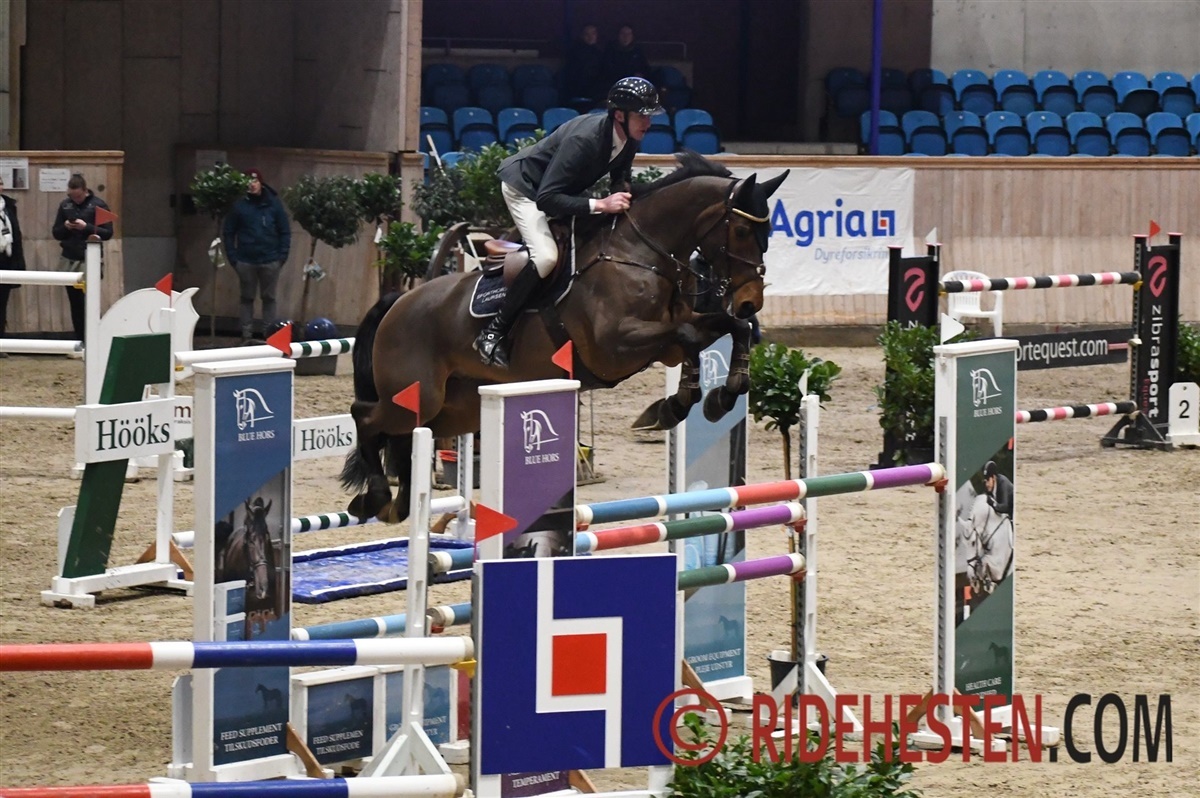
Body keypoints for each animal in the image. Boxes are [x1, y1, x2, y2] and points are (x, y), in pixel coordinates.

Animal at [341, 152, 788, 523]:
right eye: (742, 231)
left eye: (767, 231)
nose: (750, 301)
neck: (639, 253)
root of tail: (397, 303)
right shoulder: (616, 346)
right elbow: (690, 336)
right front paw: (677, 405)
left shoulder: (671, 340)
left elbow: (723, 331)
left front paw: (715, 397)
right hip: (416, 395)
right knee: (365, 416)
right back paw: (376, 496)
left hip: (455, 407)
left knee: (405, 437)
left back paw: (393, 505)